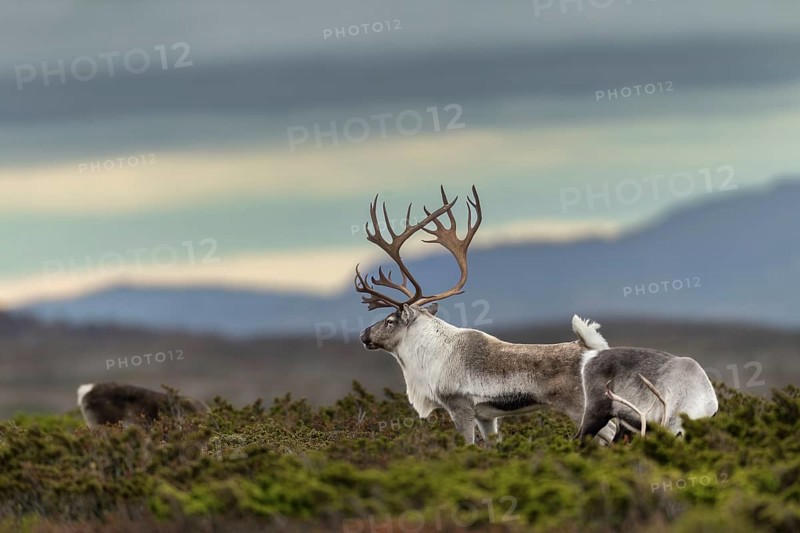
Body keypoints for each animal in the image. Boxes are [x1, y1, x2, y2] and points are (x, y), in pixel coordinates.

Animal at [355, 186, 617, 445]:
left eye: (389, 321)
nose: (364, 334)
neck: (430, 354)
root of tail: (590, 345)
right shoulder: (486, 416)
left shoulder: (459, 406)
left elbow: (468, 444)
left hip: (578, 406)